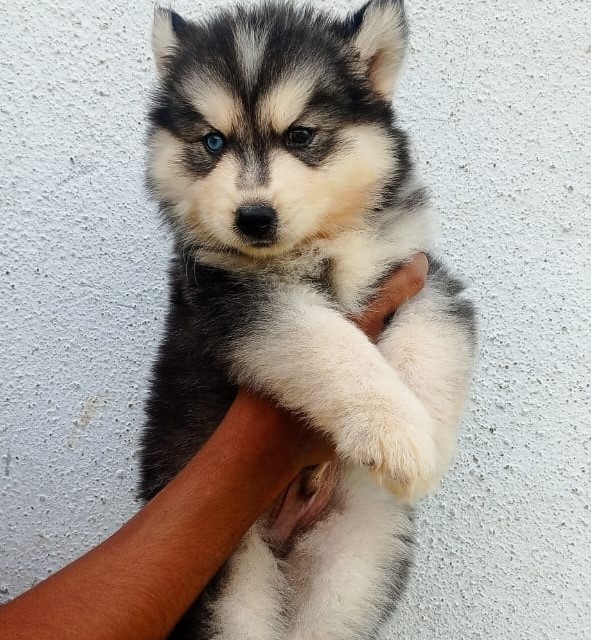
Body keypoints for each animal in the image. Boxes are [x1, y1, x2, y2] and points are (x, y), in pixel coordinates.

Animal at [139, 2, 476, 636]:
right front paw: (395, 430)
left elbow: (436, 334)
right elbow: (331, 344)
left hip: (358, 555)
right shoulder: (244, 301)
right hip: (227, 581)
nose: (253, 217)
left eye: (300, 135)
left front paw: (427, 430)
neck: (321, 245)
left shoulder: (419, 270)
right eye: (213, 142)